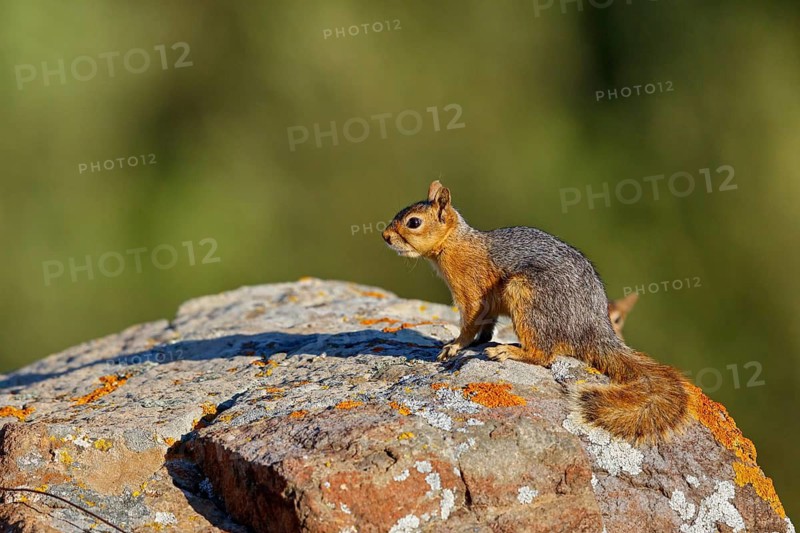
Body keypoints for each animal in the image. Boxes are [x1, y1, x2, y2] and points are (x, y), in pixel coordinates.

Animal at [382, 181, 689, 444]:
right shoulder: (486, 304)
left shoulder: (470, 291)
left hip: (527, 297)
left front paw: (454, 346)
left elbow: (470, 323)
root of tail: (592, 328)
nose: (385, 236)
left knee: (543, 354)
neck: (454, 243)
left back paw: (508, 351)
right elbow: (487, 325)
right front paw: (476, 341)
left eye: (413, 222)